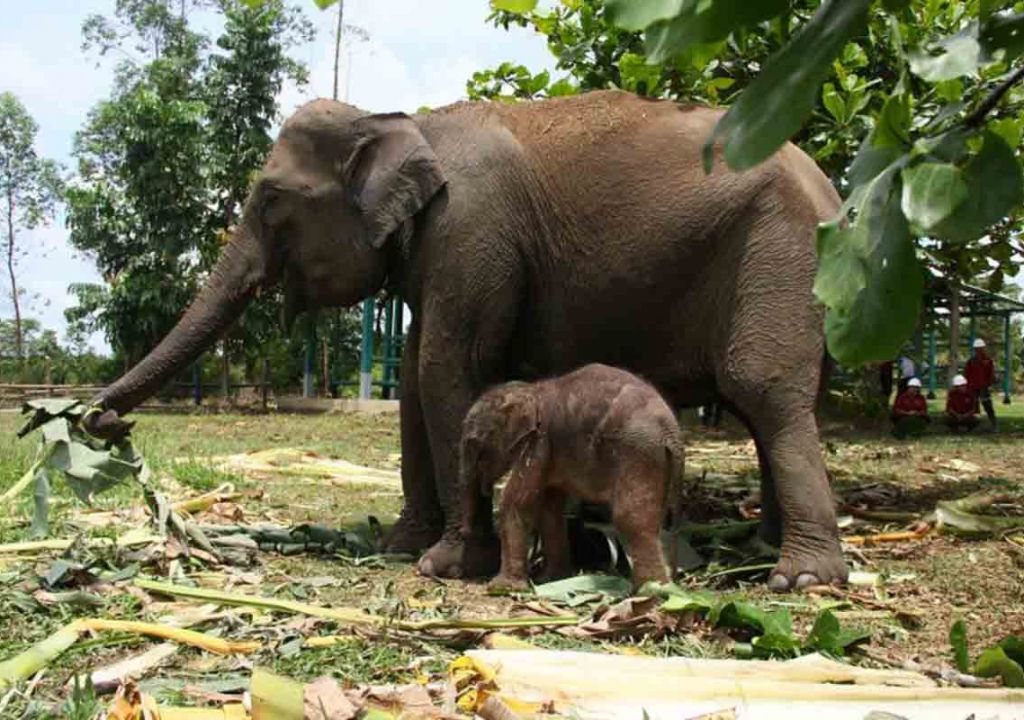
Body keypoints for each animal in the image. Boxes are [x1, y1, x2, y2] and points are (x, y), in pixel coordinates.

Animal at [460, 362, 684, 589]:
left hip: (638, 451)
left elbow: (516, 503)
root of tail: (671, 432)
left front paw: (501, 587)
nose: (464, 532)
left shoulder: (539, 442)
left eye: (473, 443)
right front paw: (552, 579)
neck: (530, 390)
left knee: (630, 517)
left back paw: (651, 590)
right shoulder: (550, 448)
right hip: (656, 460)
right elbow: (549, 507)